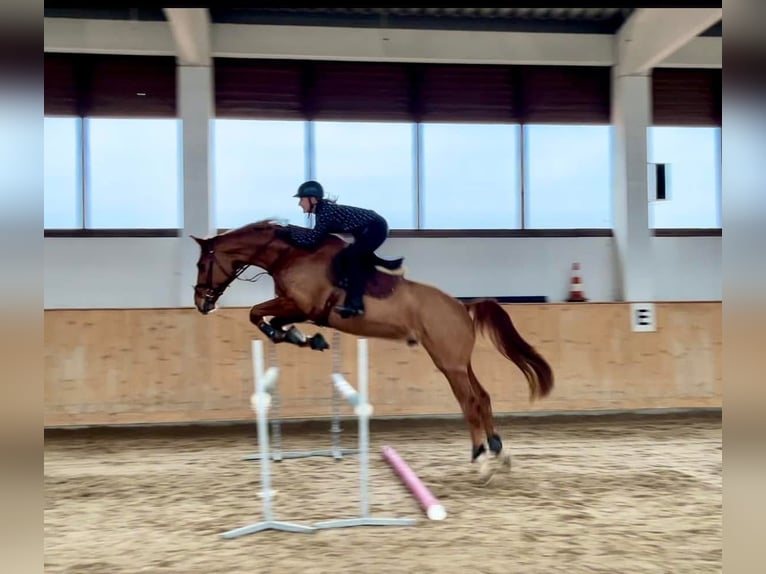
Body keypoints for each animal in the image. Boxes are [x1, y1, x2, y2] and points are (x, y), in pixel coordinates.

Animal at [191, 218, 554, 482]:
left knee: (471, 402)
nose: (200, 303)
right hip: (458, 362)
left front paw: (295, 336)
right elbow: (267, 318)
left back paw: (481, 456)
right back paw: (498, 454)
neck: (290, 254)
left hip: (448, 363)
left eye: (201, 264)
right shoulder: (299, 308)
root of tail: (463, 307)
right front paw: (305, 338)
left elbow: (256, 313)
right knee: (483, 397)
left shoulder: (303, 305)